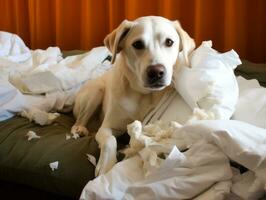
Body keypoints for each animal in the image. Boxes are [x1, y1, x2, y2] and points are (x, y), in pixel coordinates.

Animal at [71, 16, 194, 175]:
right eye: (137, 44)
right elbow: (110, 140)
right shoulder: (106, 127)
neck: (143, 94)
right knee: (79, 120)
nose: (156, 72)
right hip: (96, 91)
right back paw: (79, 129)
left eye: (169, 42)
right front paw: (106, 166)